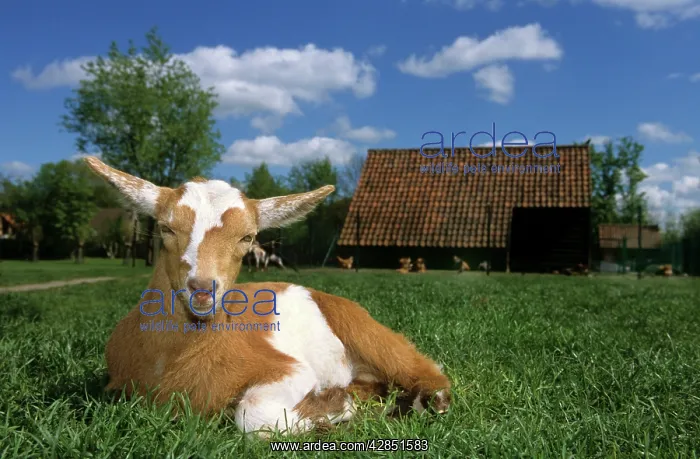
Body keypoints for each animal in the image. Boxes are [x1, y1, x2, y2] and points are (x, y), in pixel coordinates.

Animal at [83, 157, 450, 439]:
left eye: (247, 237)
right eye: (165, 228)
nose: (202, 289)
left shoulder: (289, 369)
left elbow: (251, 416)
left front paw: (333, 406)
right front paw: (338, 403)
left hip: (365, 329)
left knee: (424, 369)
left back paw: (419, 402)